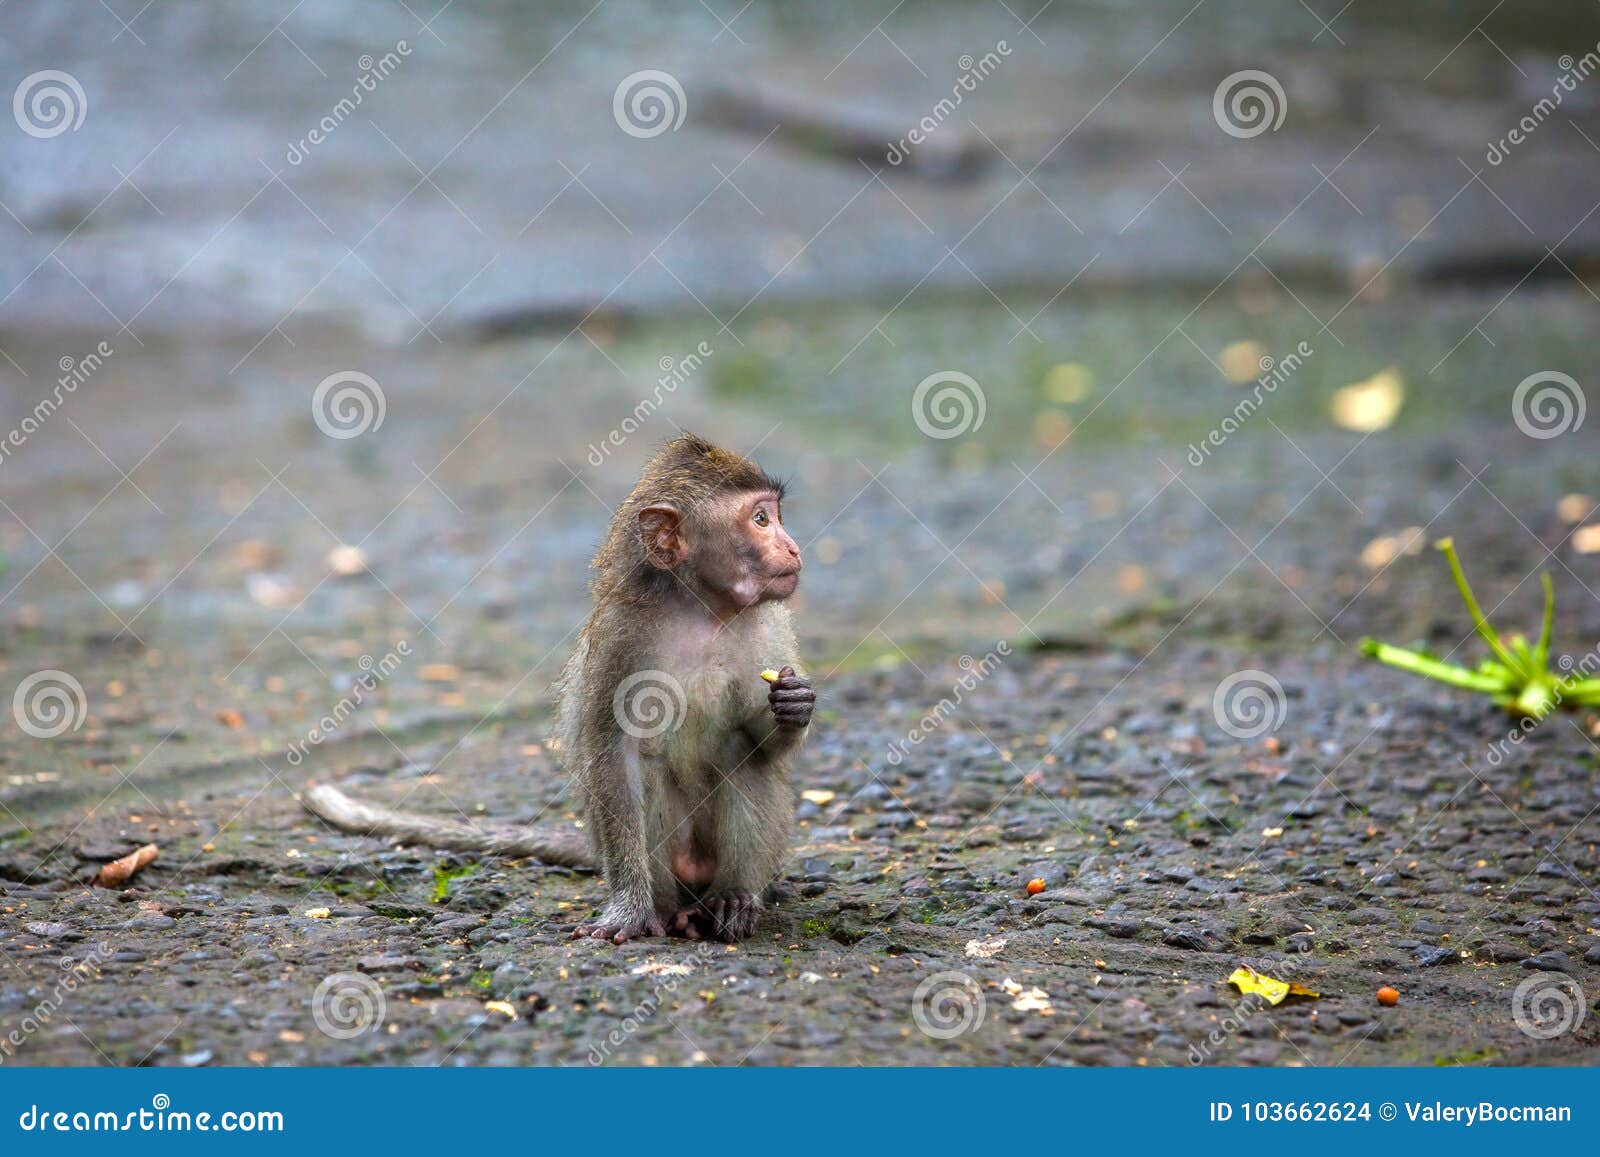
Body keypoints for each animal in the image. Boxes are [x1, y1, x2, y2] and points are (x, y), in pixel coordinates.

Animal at [302, 435, 812, 940]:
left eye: (773, 516)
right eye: (760, 519)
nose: (792, 548)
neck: (703, 612)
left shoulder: (769, 626)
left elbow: (758, 740)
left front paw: (794, 705)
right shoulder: (621, 636)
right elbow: (614, 752)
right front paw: (629, 908)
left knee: (738, 752)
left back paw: (733, 896)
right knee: (651, 769)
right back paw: (665, 907)